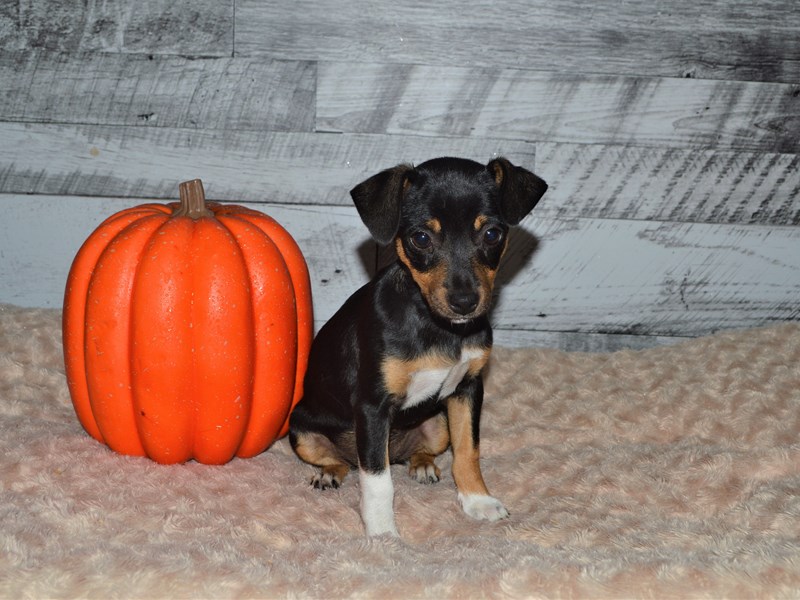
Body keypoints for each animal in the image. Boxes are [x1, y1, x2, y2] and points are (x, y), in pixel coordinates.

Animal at [290, 157, 548, 536]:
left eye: (492, 234)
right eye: (421, 238)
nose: (464, 302)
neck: (437, 327)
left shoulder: (468, 390)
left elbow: (468, 452)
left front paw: (478, 501)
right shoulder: (373, 406)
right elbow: (378, 480)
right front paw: (383, 533)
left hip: (438, 423)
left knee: (416, 453)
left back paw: (423, 464)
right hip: (302, 431)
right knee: (346, 462)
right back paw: (329, 473)